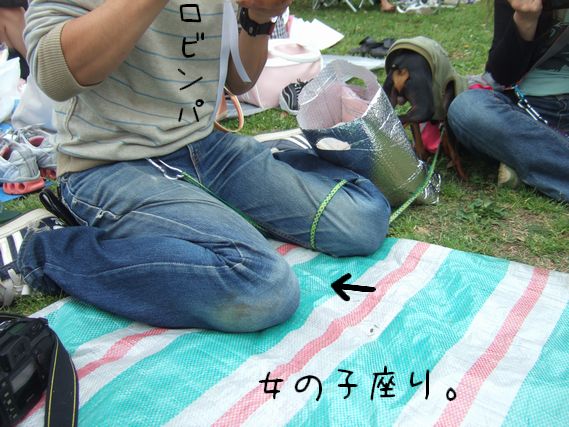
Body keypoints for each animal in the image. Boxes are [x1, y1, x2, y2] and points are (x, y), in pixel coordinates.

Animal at [383, 40, 468, 180]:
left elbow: (420, 146)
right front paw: (463, 177)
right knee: (397, 120)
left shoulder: (415, 118)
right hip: (424, 110)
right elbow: (454, 154)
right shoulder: (447, 120)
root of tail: (402, 66)